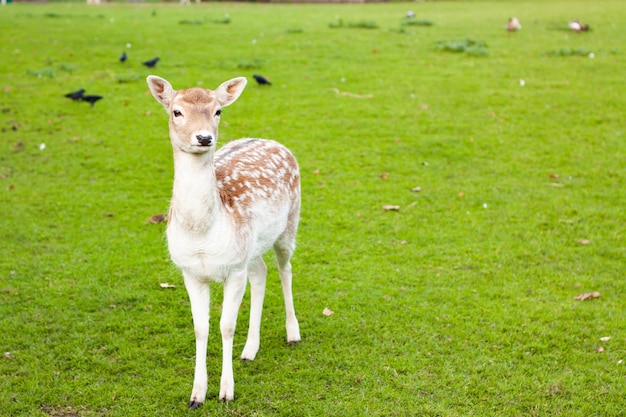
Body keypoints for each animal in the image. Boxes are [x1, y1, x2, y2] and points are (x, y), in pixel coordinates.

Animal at [147, 75, 302, 406]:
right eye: (176, 111)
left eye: (218, 111)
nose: (204, 137)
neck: (202, 234)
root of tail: (272, 141)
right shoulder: (191, 271)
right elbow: (201, 328)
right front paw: (196, 394)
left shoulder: (234, 269)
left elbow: (226, 326)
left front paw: (226, 391)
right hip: (251, 247)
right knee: (261, 272)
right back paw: (250, 350)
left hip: (289, 224)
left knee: (285, 269)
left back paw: (293, 333)